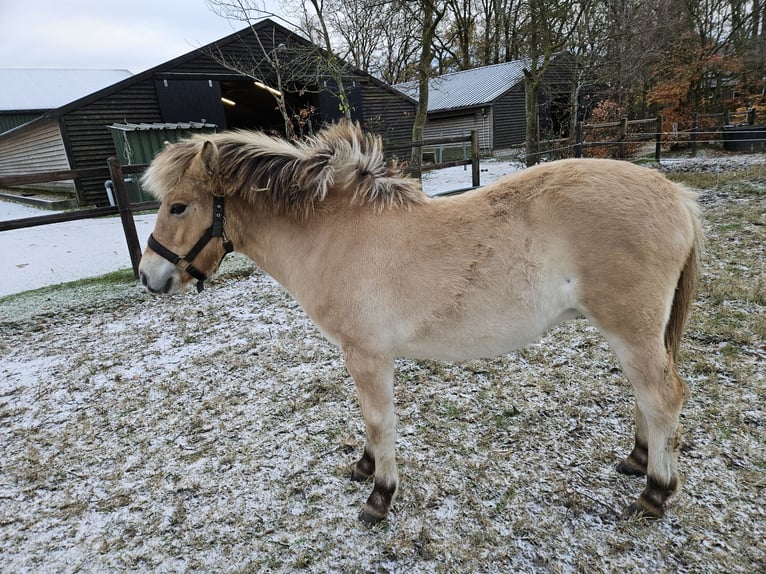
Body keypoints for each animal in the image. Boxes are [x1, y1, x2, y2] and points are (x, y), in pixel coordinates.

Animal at [138, 121, 703, 524]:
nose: (148, 276)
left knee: (663, 396)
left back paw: (655, 493)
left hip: (631, 331)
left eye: (179, 206)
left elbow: (378, 419)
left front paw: (379, 495)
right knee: (646, 397)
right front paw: (365, 467)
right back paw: (638, 459)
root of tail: (674, 194)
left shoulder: (366, 354)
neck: (332, 234)